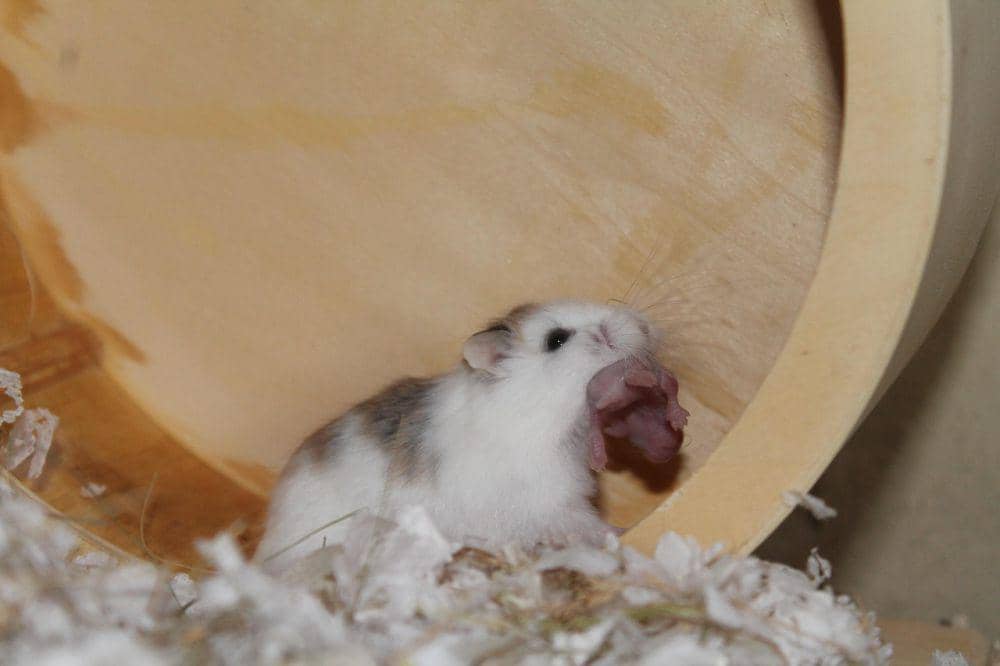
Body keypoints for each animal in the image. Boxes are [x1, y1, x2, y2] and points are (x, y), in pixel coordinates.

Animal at [255, 300, 687, 571]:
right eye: (556, 339)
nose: (643, 325)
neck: (536, 410)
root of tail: (267, 547)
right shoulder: (551, 502)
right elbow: (587, 525)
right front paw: (620, 534)